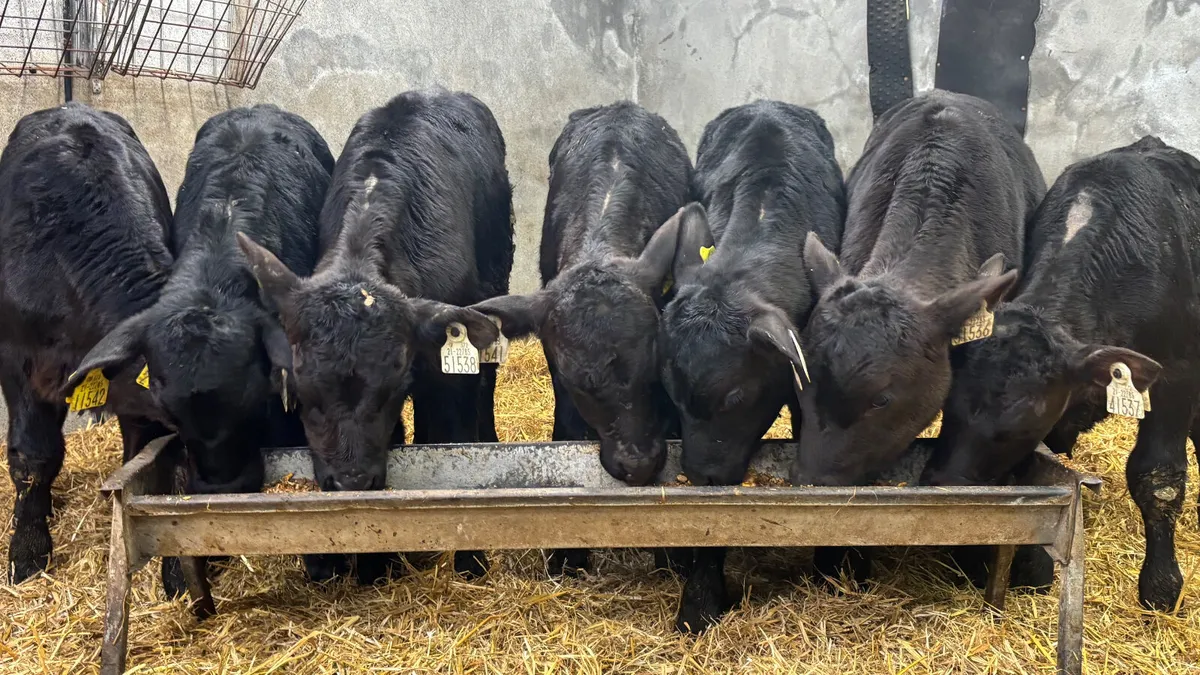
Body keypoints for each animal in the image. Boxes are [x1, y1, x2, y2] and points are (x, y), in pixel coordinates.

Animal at [238, 89, 512, 583]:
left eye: (394, 385)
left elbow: (455, 448)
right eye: (303, 392)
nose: (351, 483)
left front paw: (471, 560)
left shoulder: (447, 377)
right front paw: (372, 562)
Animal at [924, 135, 1199, 613]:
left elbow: (1159, 477)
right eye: (948, 405)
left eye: (1021, 424)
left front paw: (1162, 586)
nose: (943, 486)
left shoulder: (1176, 381)